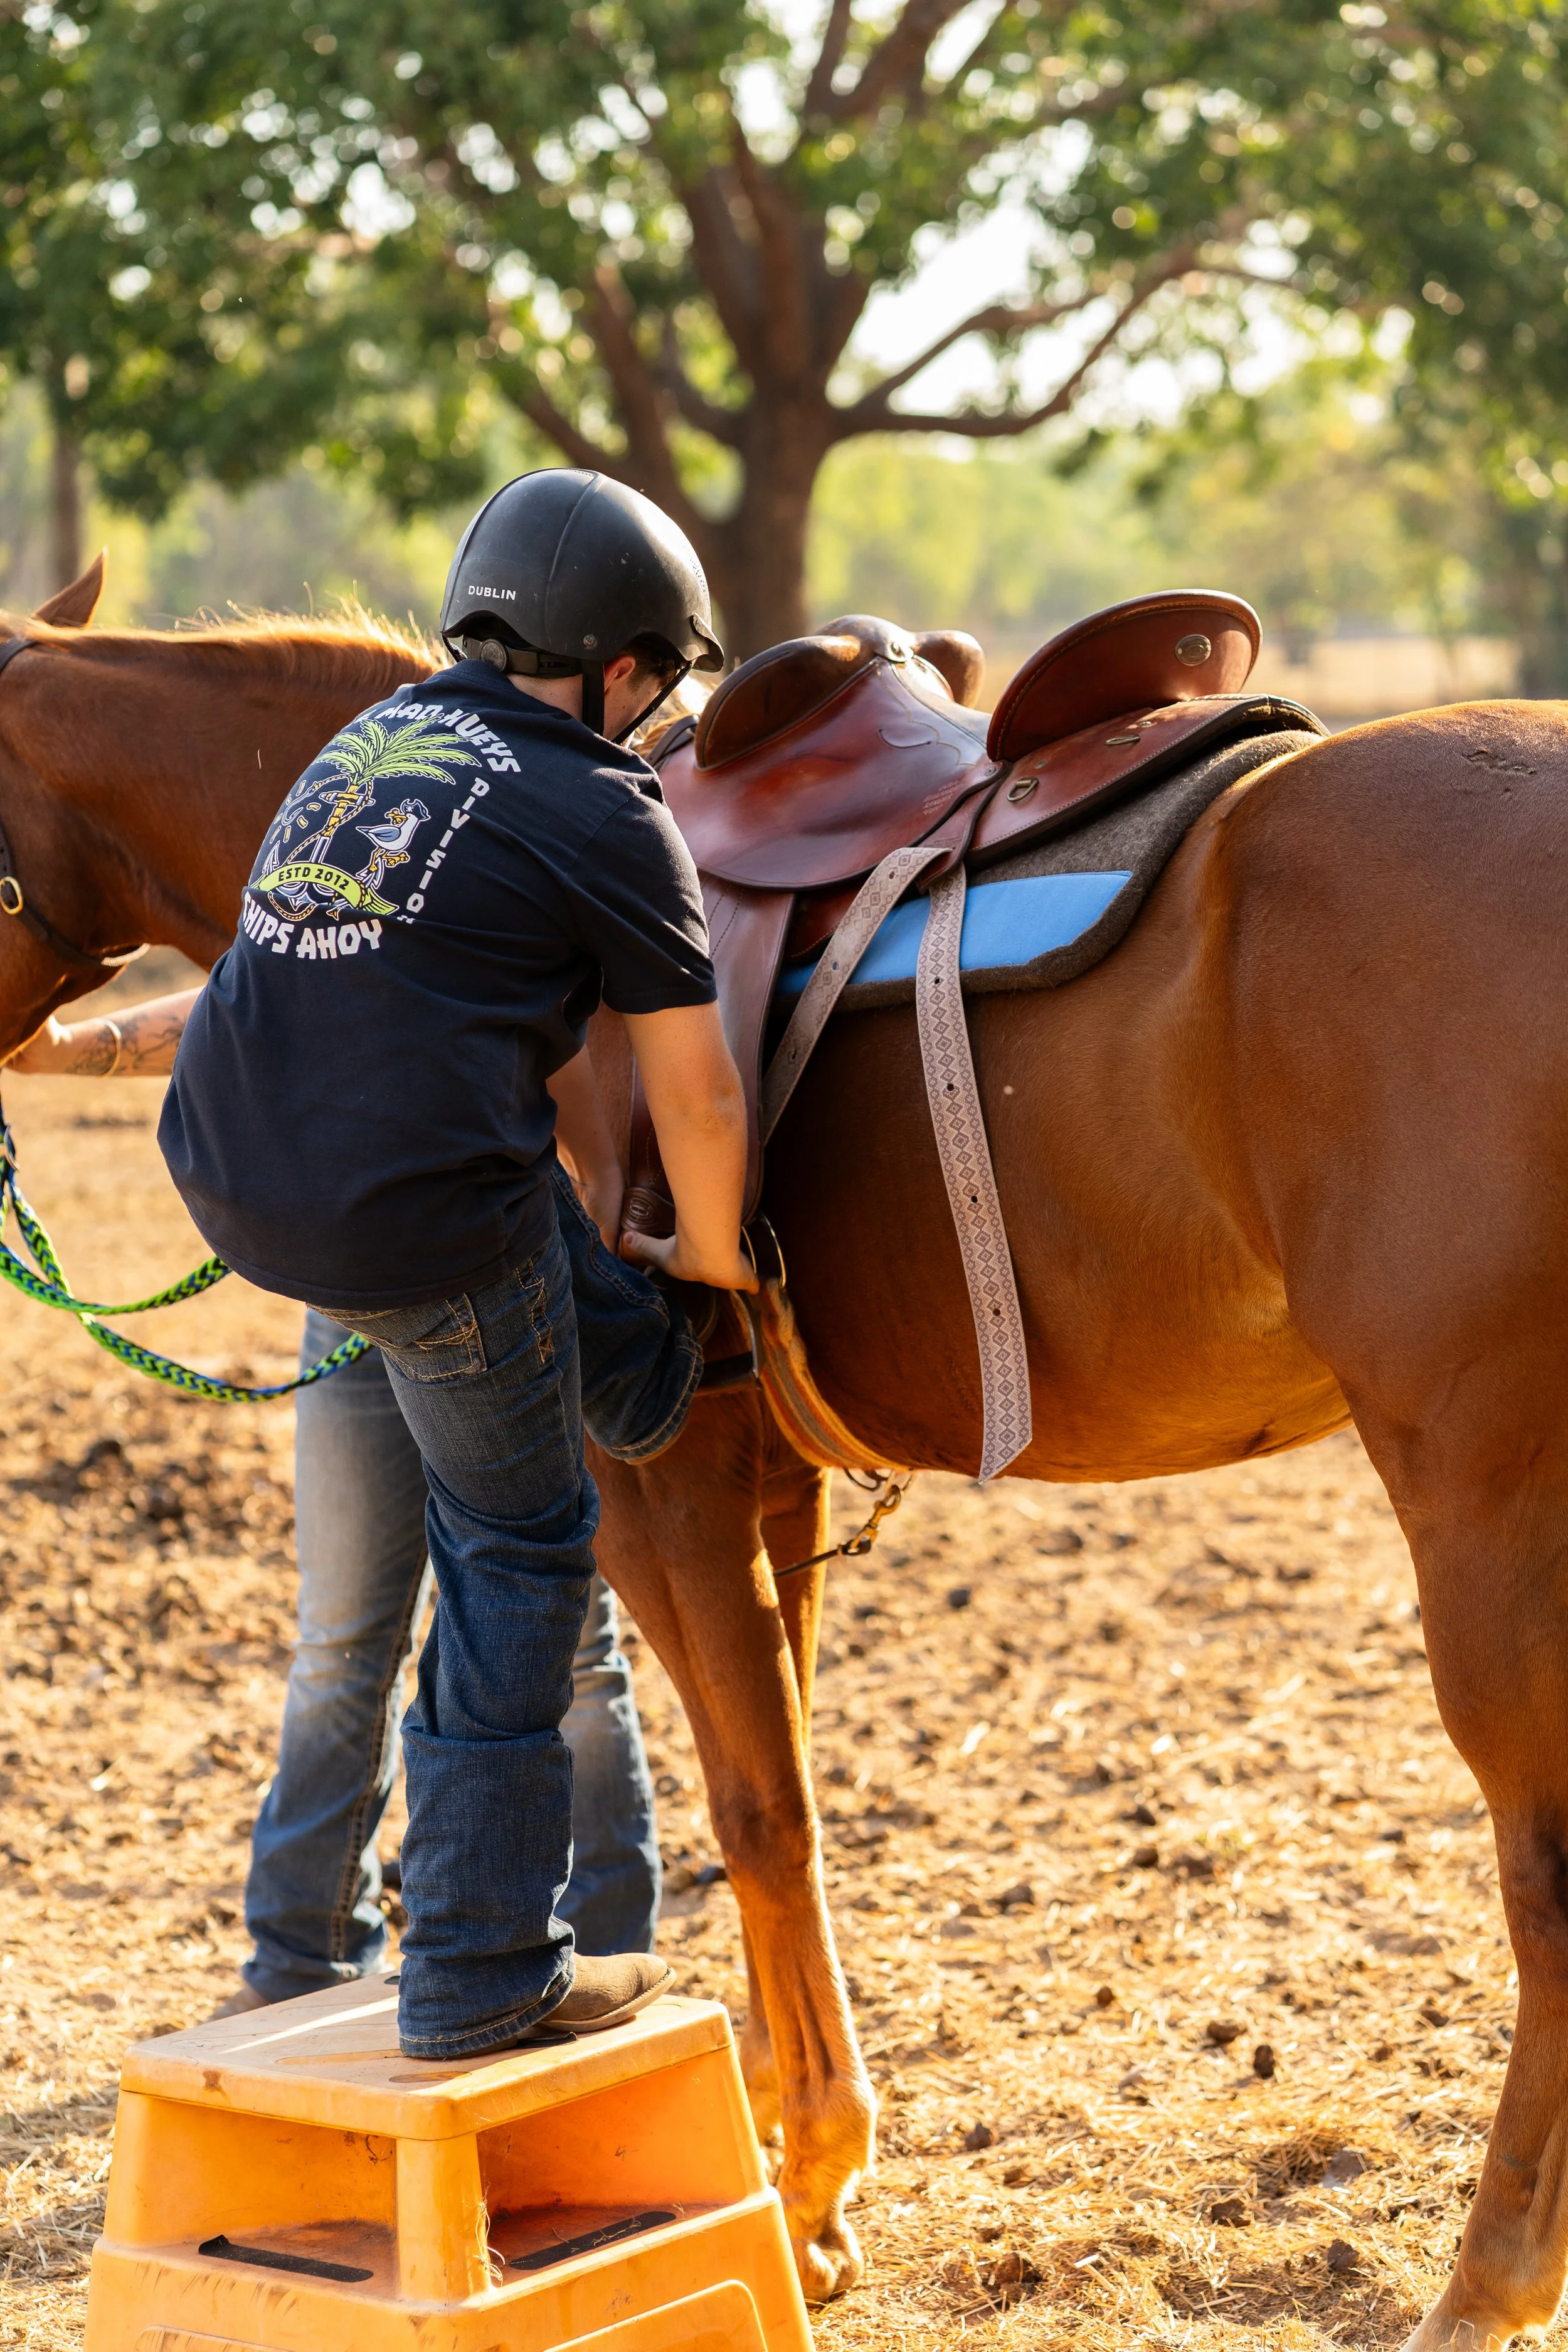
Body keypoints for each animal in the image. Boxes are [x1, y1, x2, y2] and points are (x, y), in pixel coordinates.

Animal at [4, 566, 1567, 2351]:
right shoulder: (769, 1475)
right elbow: (786, 1776)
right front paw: (780, 2135)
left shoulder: (652, 1481)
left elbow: (759, 1806)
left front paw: (808, 2186)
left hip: (1480, 1504)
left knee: (1544, 1873)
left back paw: (1488, 2279)